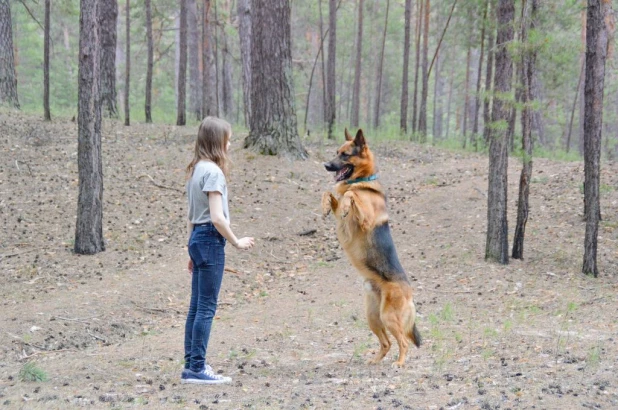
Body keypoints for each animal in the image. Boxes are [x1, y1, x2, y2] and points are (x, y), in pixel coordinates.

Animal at [320, 127, 422, 366]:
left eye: (345, 155)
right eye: (336, 152)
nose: (326, 165)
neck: (363, 181)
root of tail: (410, 294)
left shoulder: (364, 218)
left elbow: (350, 194)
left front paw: (347, 201)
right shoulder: (340, 216)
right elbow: (329, 193)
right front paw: (324, 205)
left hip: (388, 316)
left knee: (403, 342)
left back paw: (399, 363)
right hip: (373, 317)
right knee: (387, 343)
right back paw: (374, 361)